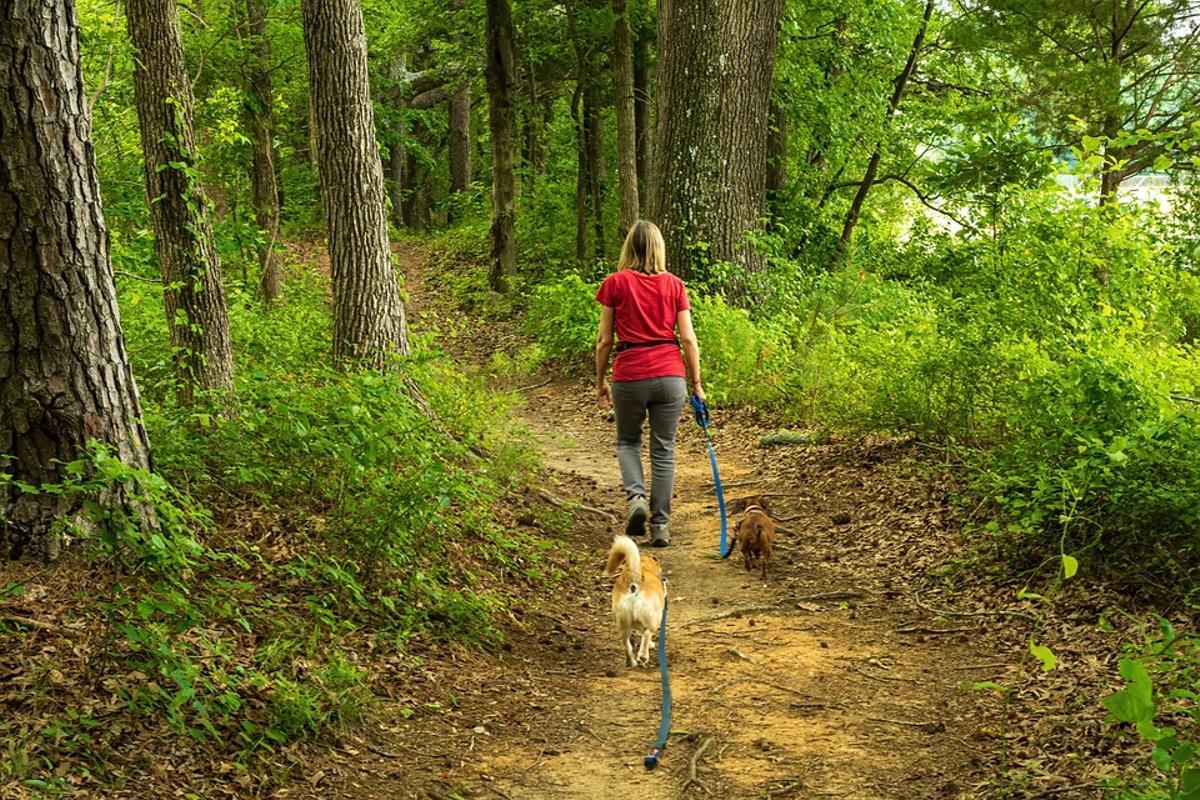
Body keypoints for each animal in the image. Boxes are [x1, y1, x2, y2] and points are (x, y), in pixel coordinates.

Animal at [600, 537, 667, 671]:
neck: (644, 566)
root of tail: (634, 576)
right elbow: (644, 633)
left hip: (622, 623)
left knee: (626, 643)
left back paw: (630, 662)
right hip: (654, 619)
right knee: (647, 633)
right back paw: (643, 656)